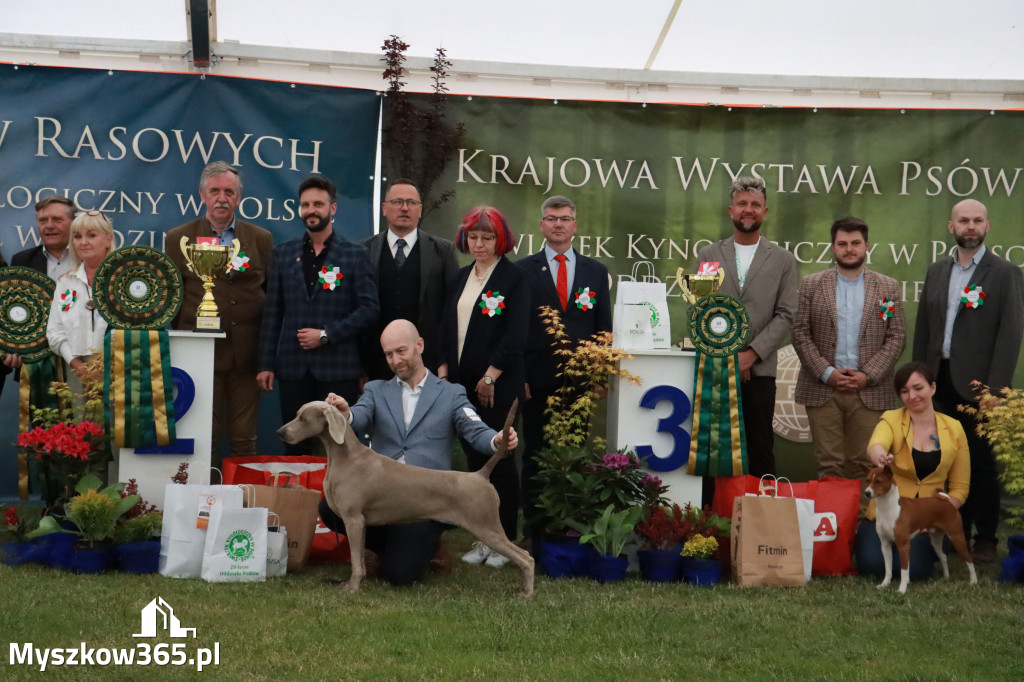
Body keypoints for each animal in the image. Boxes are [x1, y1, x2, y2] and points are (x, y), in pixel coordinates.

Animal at [868, 464, 978, 593]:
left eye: (878, 481)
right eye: (868, 480)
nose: (866, 493)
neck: (889, 508)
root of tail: (947, 502)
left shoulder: (903, 545)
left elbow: (904, 570)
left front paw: (902, 589)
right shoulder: (885, 544)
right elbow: (888, 569)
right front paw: (884, 584)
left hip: (957, 537)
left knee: (969, 559)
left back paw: (973, 581)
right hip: (935, 540)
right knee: (944, 556)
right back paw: (946, 577)